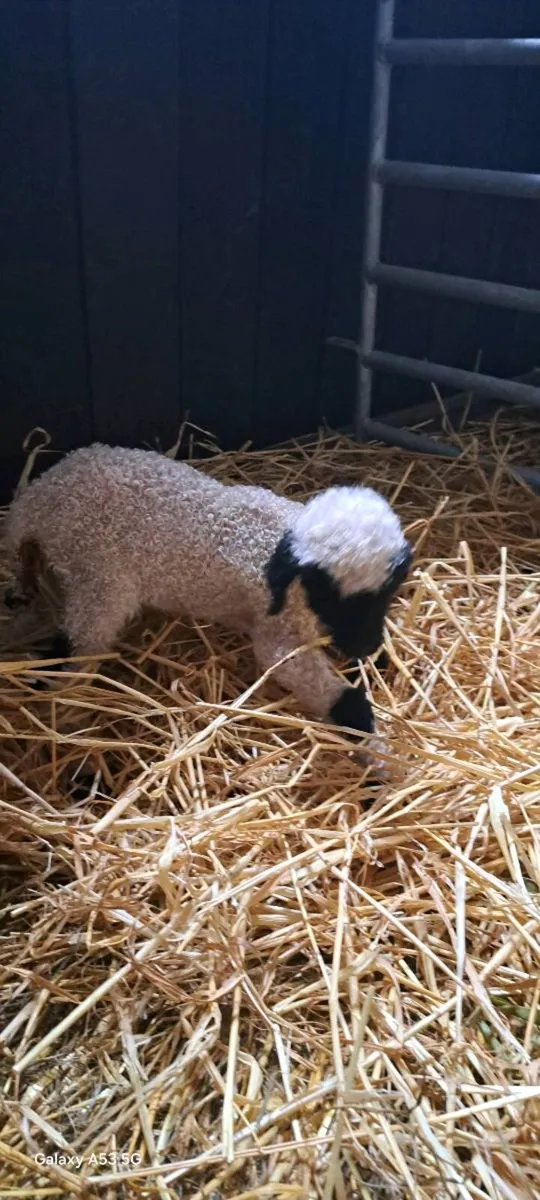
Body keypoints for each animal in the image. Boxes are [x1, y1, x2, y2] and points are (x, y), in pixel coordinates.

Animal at [4, 444, 411, 735]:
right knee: (82, 638)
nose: (364, 646)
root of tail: (40, 491)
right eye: (327, 592)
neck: (280, 543)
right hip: (98, 573)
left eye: (387, 592)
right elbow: (305, 676)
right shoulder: (278, 634)